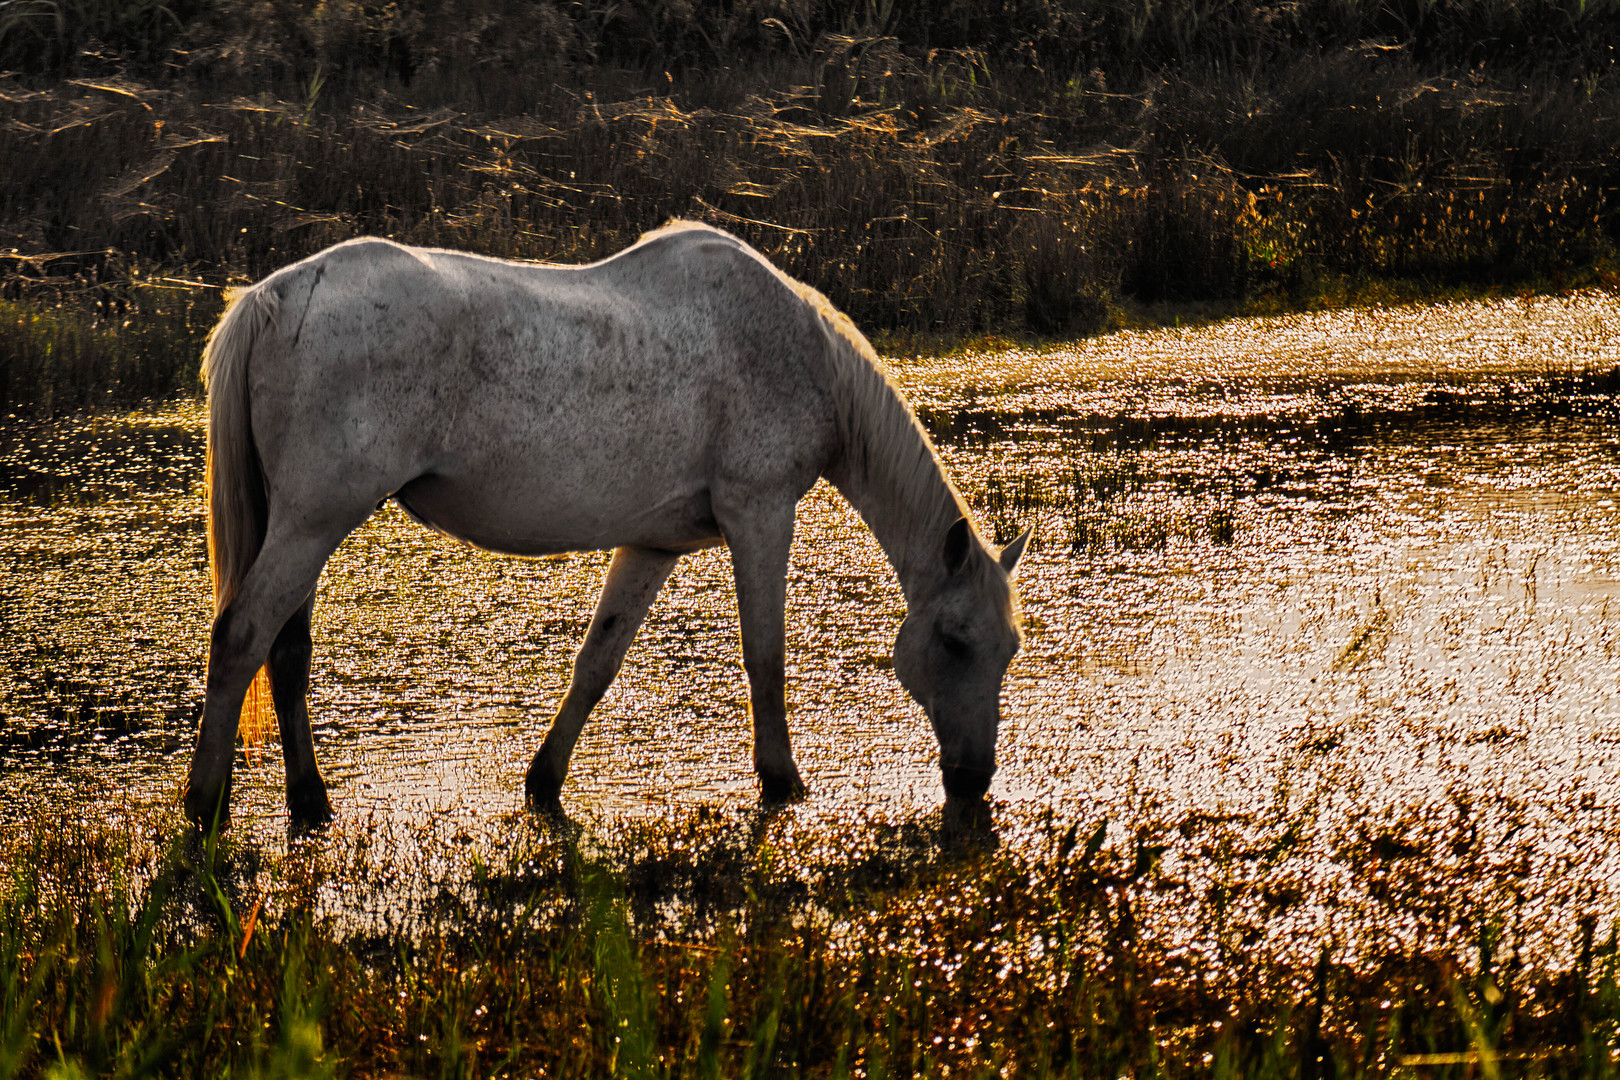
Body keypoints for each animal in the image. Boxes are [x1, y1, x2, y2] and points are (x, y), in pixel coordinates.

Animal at [186, 220, 1023, 829]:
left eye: (1009, 649)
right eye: (956, 641)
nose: (974, 777)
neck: (793, 347)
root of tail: (276, 296)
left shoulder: (654, 543)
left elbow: (597, 663)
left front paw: (544, 781)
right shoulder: (760, 513)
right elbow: (765, 657)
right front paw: (782, 781)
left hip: (302, 526)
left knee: (286, 653)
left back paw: (308, 801)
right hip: (312, 522)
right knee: (242, 638)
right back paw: (204, 804)